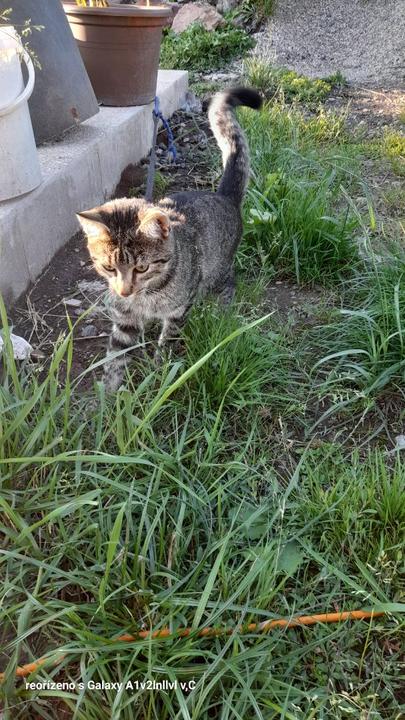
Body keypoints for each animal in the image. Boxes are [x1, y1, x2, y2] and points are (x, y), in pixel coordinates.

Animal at [77, 87, 262, 392]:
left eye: (141, 267)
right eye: (108, 267)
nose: (124, 291)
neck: (146, 297)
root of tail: (223, 196)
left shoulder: (177, 311)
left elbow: (166, 347)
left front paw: (158, 380)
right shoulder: (125, 319)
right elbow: (115, 357)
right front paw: (109, 396)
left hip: (217, 271)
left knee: (229, 284)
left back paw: (220, 315)